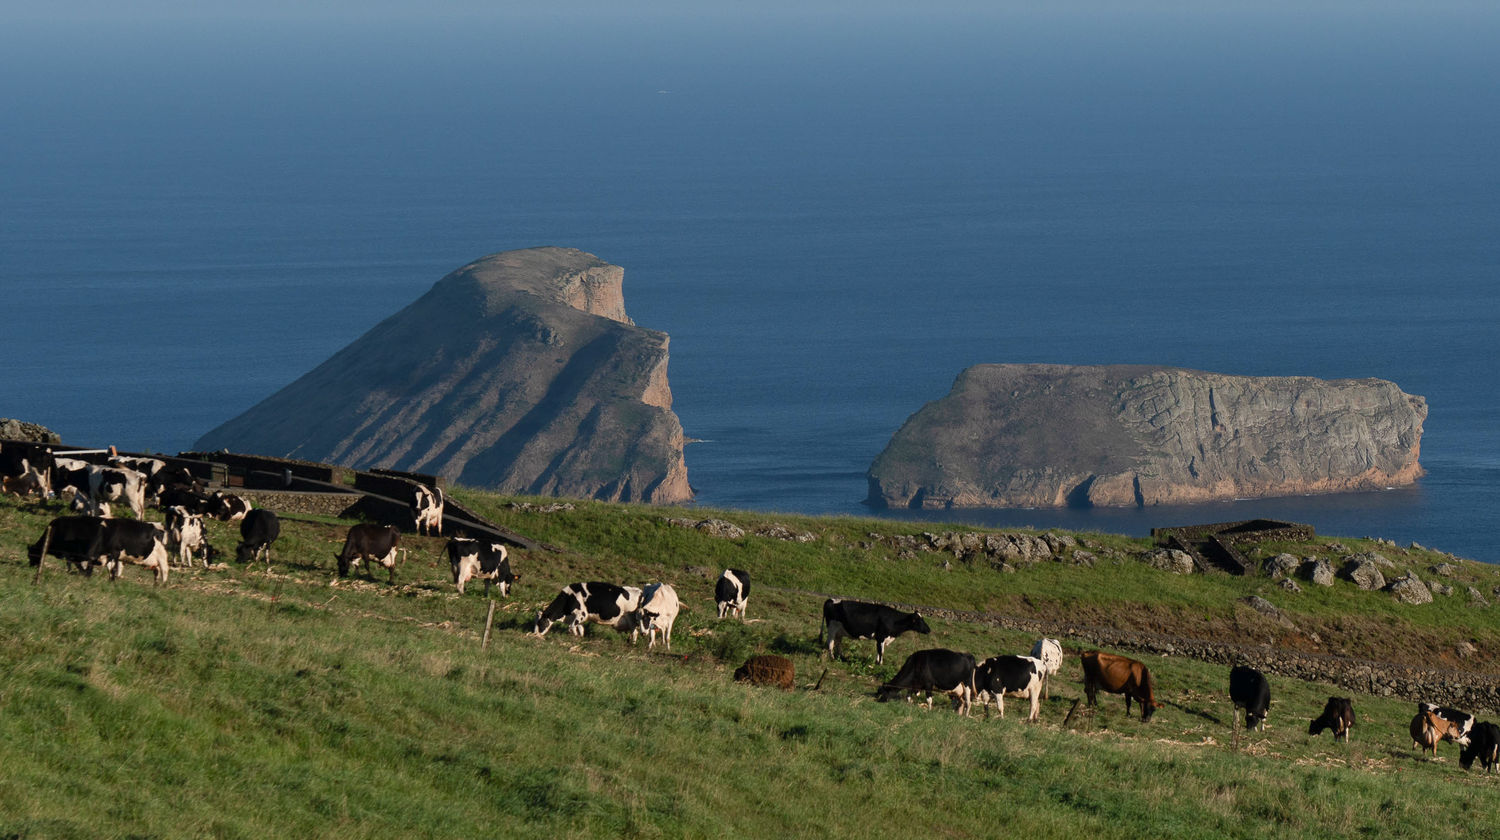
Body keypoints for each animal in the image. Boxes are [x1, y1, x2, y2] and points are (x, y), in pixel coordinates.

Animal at [26, 513, 170, 585]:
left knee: (164, 573)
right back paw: (155, 586)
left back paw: (162, 587)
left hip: (162, 558)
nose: (30, 566)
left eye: (31, 555)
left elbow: (110, 569)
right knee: (156, 572)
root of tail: (157, 525)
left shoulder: (113, 553)